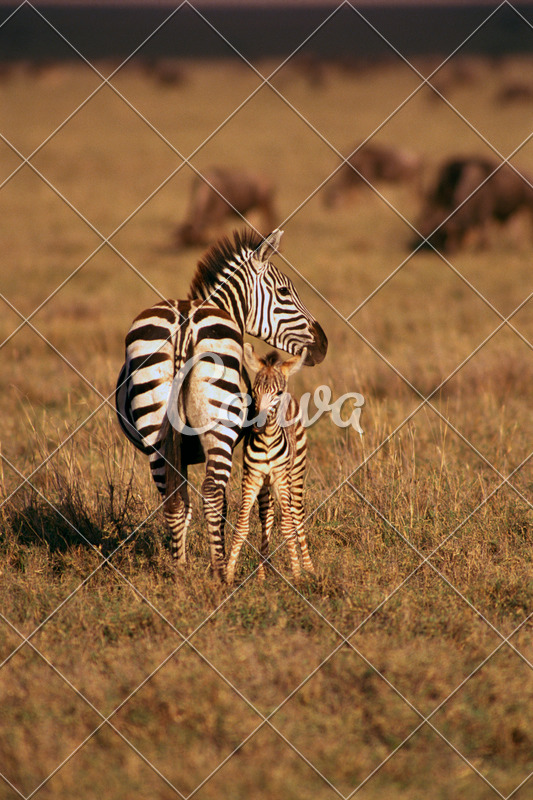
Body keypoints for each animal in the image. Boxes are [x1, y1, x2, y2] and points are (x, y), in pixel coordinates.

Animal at [227, 346, 314, 588]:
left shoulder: (282, 478)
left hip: (295, 474)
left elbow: (288, 527)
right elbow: (242, 526)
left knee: (297, 516)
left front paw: (297, 575)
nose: (258, 424)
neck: (266, 441)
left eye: (278, 393)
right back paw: (262, 573)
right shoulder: (251, 478)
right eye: (254, 392)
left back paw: (310, 569)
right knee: (267, 517)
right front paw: (227, 575)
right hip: (266, 485)